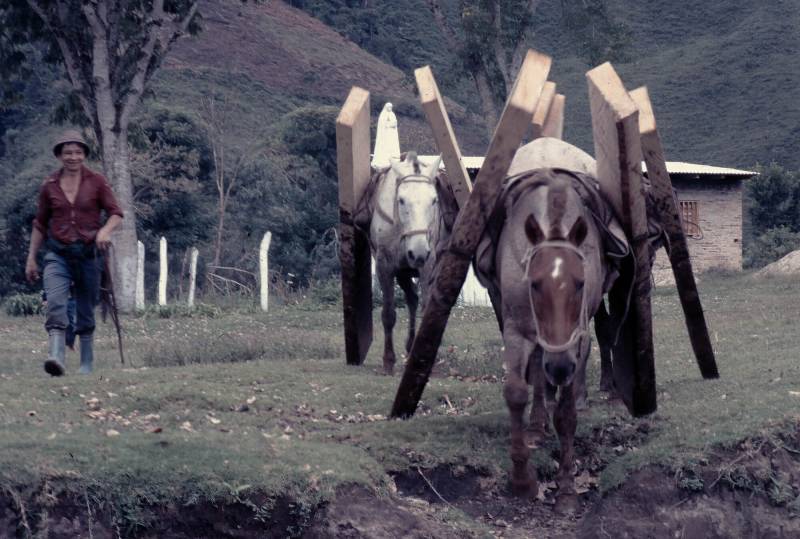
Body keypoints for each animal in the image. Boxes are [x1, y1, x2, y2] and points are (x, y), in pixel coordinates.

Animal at [358, 150, 454, 374]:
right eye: (401, 200)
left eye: (434, 200)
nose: (418, 253)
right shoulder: (385, 266)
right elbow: (388, 314)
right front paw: (388, 360)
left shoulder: (428, 265)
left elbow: (426, 311)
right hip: (403, 271)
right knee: (412, 298)